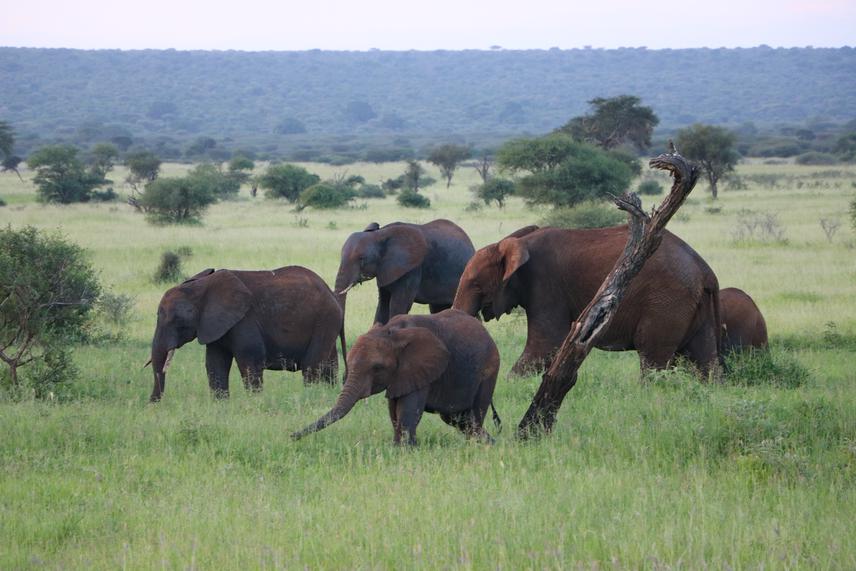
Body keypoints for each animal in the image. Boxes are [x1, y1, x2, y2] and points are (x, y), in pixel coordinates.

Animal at [149, 264, 346, 402]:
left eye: (177, 321)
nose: (152, 405)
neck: (201, 287)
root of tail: (332, 294)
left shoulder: (244, 320)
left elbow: (250, 359)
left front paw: (254, 403)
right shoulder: (215, 325)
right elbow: (215, 362)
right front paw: (221, 406)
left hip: (325, 320)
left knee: (311, 368)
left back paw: (311, 396)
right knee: (329, 365)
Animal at [292, 308, 502, 446]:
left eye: (377, 368)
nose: (291, 436)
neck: (392, 332)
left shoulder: (418, 367)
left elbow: (407, 412)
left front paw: (406, 450)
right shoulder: (400, 375)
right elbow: (393, 411)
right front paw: (397, 447)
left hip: (489, 369)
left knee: (473, 416)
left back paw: (478, 446)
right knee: (457, 418)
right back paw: (489, 443)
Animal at [332, 219, 474, 326]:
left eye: (362, 259)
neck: (380, 234)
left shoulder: (412, 269)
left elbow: (399, 305)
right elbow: (383, 305)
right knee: (438, 308)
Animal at [454, 226, 724, 378]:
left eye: (476, 284)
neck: (518, 242)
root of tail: (706, 271)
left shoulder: (545, 285)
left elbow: (546, 344)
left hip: (667, 301)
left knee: (652, 356)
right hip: (692, 305)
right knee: (705, 358)